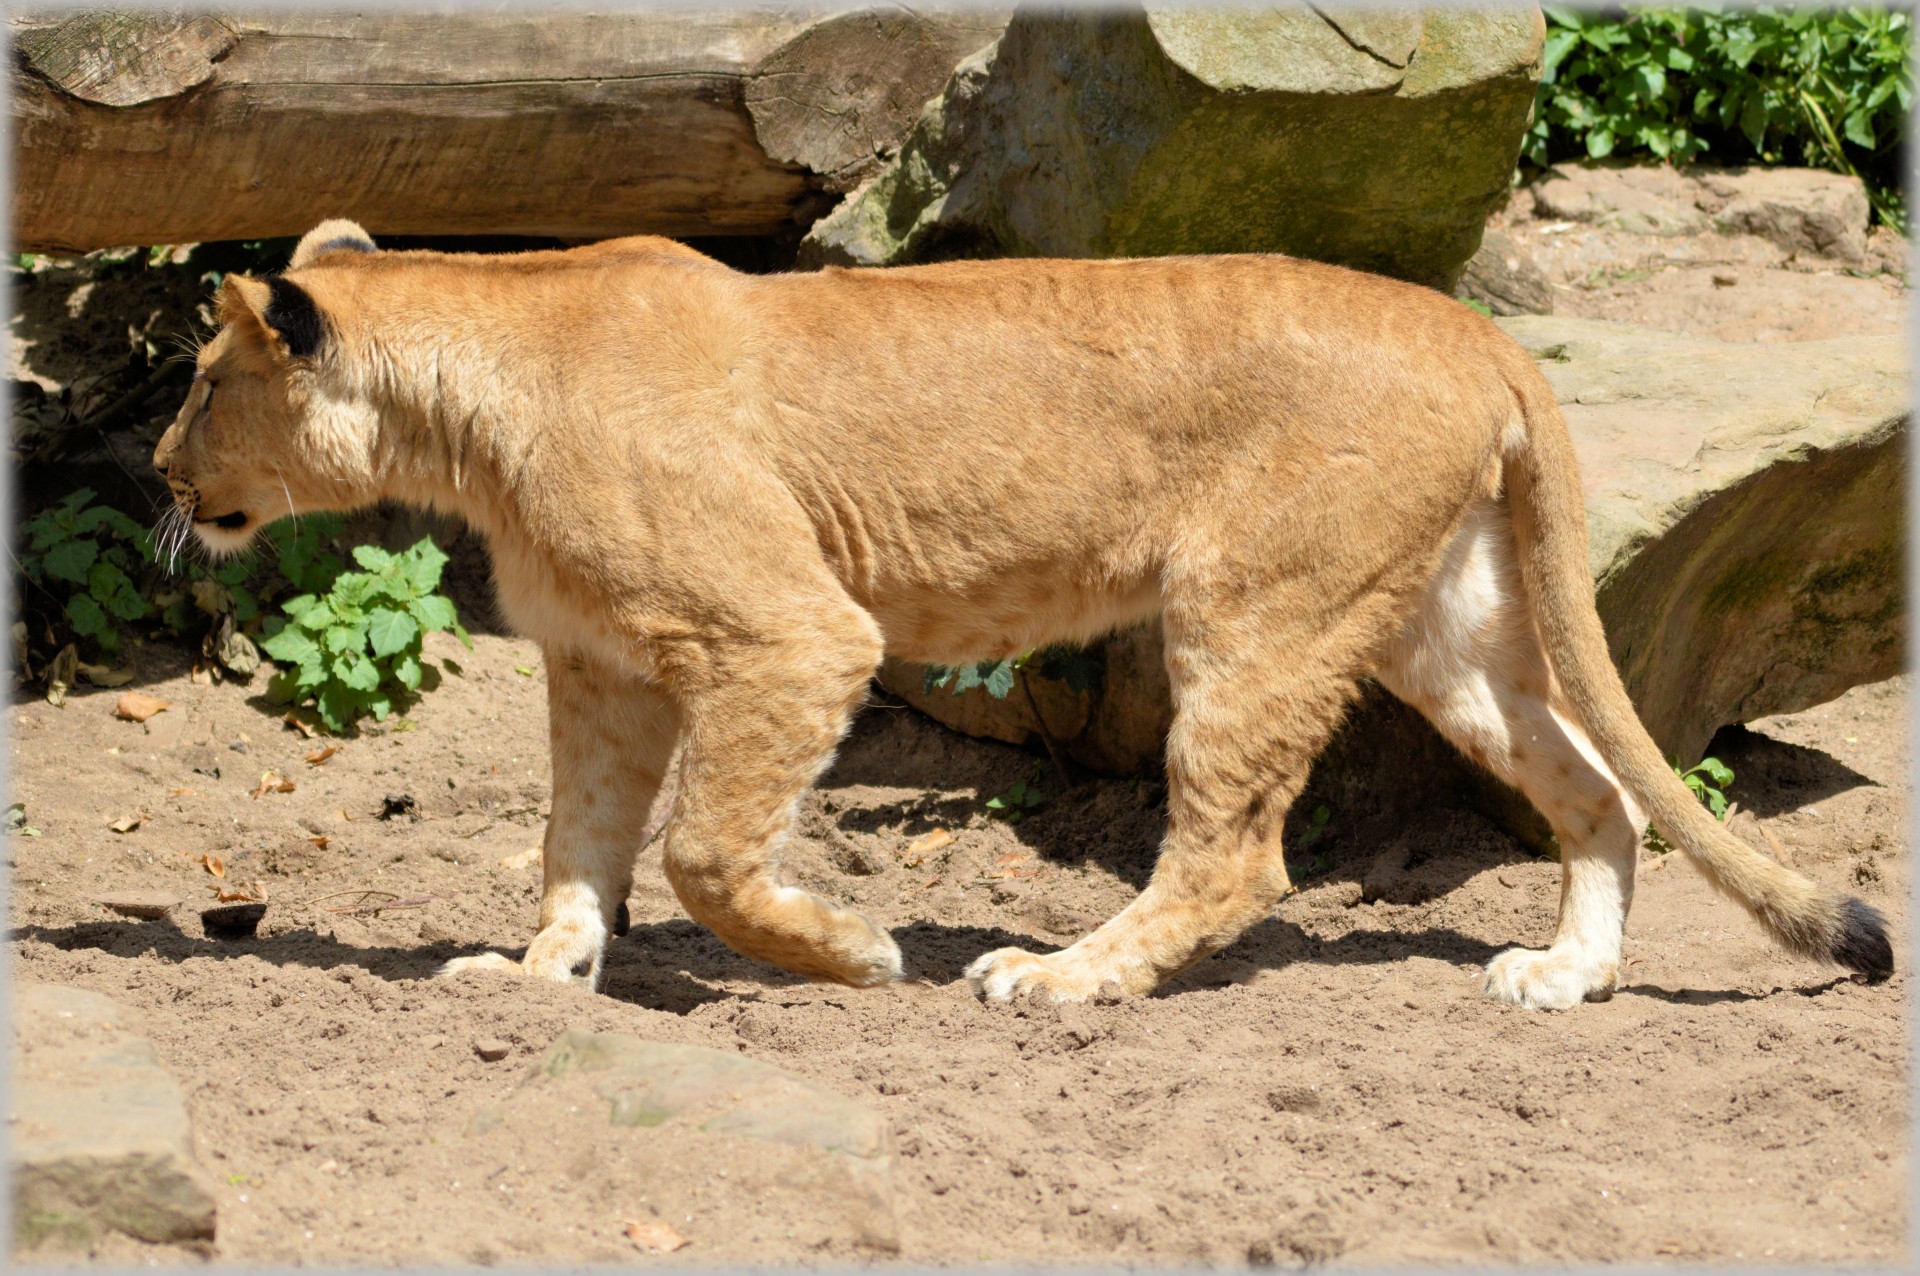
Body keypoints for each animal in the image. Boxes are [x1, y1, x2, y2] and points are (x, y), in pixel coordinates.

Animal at [153, 221, 1889, 1013]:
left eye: (202, 384)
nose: (164, 470)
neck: (468, 409)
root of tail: (1471, 323)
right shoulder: (599, 662)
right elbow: (574, 843)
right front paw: (537, 975)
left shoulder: (790, 636)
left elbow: (703, 851)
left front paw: (853, 953)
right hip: (1435, 628)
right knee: (1598, 790)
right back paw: (1565, 978)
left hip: (1250, 611)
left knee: (1234, 851)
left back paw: (1060, 979)